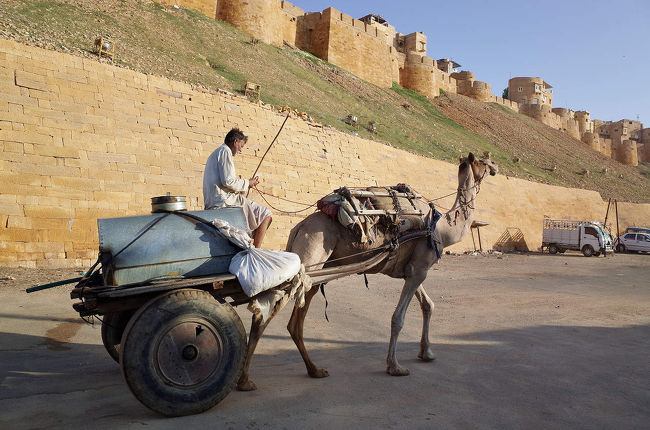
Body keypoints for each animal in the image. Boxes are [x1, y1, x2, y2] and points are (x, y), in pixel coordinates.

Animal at [237, 151, 496, 390]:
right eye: (484, 161)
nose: (494, 169)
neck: (441, 228)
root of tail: (299, 227)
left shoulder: (411, 270)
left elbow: (428, 305)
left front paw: (427, 353)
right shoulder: (419, 269)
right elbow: (398, 318)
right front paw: (395, 366)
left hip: (312, 270)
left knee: (294, 321)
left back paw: (315, 370)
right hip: (311, 254)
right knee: (268, 309)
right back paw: (245, 380)